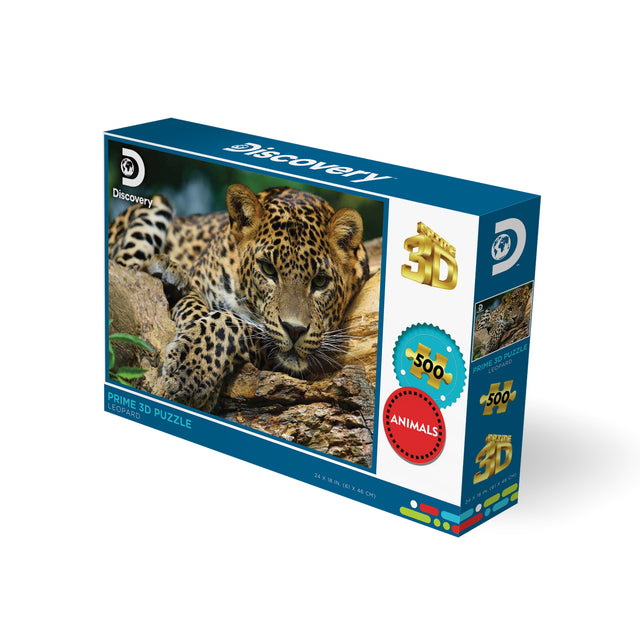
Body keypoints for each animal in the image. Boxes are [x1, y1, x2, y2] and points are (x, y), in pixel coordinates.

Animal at [108, 184, 369, 412]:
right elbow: (199, 309)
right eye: (268, 269)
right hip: (155, 205)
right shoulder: (198, 284)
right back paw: (164, 268)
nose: (295, 330)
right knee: (124, 267)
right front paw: (190, 362)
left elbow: (231, 322)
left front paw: (191, 370)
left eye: (320, 282)